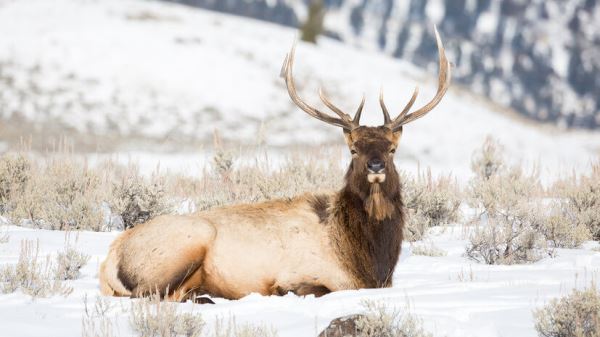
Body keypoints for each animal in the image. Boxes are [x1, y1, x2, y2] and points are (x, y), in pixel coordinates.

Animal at [99, 28, 450, 302]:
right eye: (353, 149)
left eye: (392, 149)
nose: (376, 166)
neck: (367, 259)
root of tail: (109, 260)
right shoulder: (303, 276)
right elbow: (310, 288)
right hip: (186, 243)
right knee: (151, 294)